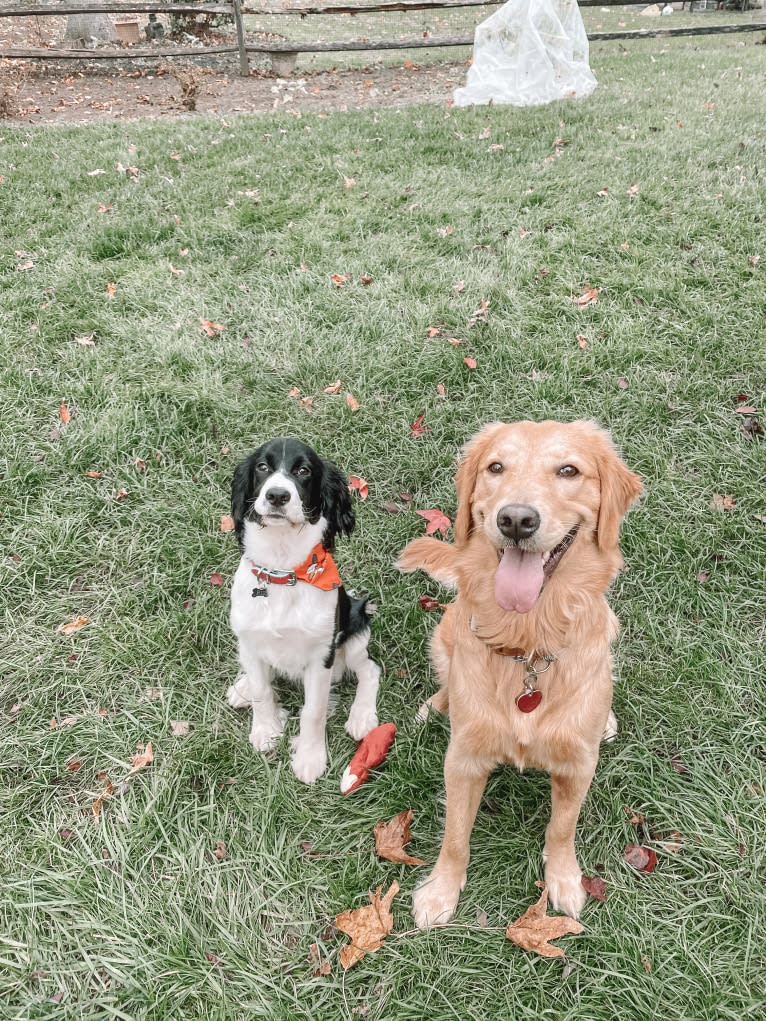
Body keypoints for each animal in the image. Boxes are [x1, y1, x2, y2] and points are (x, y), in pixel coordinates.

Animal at [227, 436, 384, 780]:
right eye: (262, 467)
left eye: (303, 471)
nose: (277, 495)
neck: (283, 570)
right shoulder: (250, 639)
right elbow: (261, 691)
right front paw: (266, 730)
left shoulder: (320, 656)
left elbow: (314, 711)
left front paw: (310, 758)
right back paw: (241, 688)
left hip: (355, 628)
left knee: (370, 670)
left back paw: (361, 717)